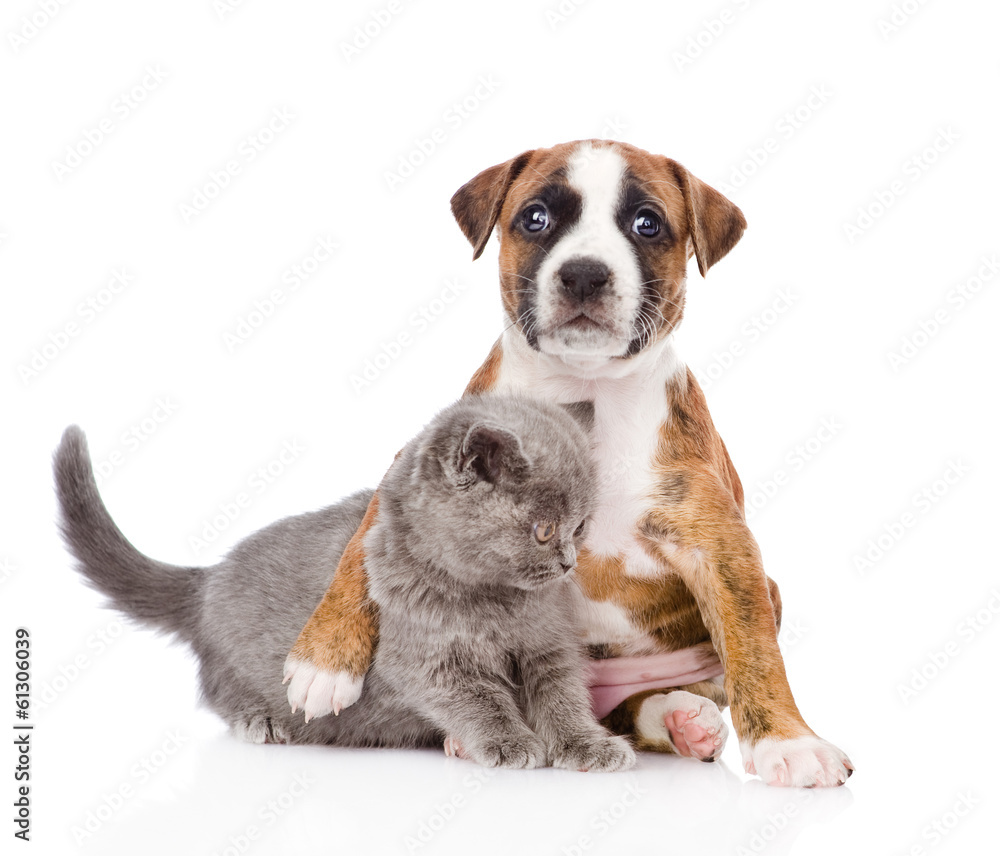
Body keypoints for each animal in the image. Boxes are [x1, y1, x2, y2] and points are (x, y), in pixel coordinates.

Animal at [54, 394, 632, 776]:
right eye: (543, 530)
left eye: (580, 526)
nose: (567, 563)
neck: (494, 601)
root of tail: (208, 580)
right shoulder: (426, 664)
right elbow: (478, 698)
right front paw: (508, 741)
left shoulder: (549, 647)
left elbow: (563, 697)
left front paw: (590, 746)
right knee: (216, 689)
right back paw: (260, 720)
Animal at [286, 140, 856, 788]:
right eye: (535, 218)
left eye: (647, 223)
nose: (584, 272)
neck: (586, 395)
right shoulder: (411, 474)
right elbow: (357, 554)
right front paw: (323, 659)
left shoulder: (719, 546)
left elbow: (754, 648)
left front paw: (790, 742)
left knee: (654, 703)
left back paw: (685, 720)